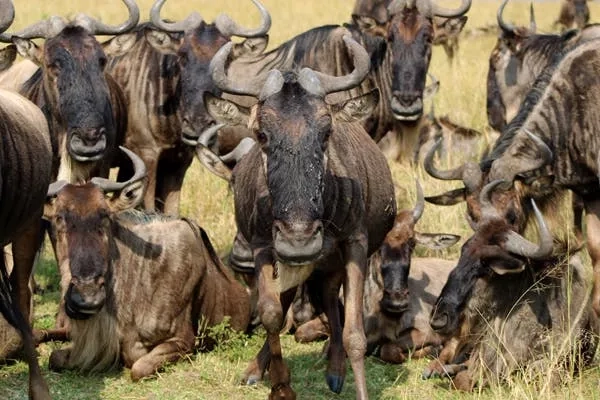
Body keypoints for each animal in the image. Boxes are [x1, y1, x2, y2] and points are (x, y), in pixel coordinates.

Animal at [44, 148, 250, 382]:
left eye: (105, 215)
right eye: (59, 217)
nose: (87, 298)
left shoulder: (182, 341)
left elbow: (138, 368)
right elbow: (54, 357)